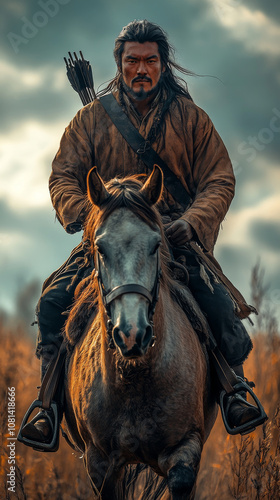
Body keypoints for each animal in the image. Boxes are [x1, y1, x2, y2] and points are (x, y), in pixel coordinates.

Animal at [64, 166, 219, 498]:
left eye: (156, 245)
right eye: (100, 247)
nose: (132, 334)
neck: (134, 378)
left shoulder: (186, 450)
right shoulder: (100, 463)